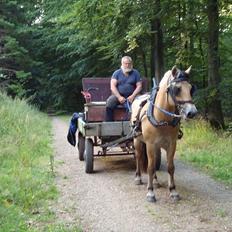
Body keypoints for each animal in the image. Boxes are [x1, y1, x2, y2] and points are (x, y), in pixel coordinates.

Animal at [130, 65, 198, 201]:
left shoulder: (171, 144)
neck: (162, 119)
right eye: (177, 89)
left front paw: (173, 191)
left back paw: (155, 181)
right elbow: (150, 167)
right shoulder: (150, 144)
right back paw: (138, 177)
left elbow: (170, 167)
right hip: (138, 140)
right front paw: (150, 192)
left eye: (191, 88)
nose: (192, 112)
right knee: (139, 157)